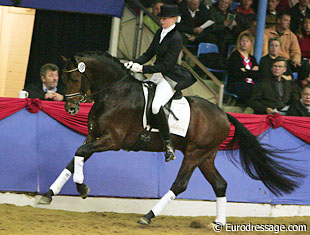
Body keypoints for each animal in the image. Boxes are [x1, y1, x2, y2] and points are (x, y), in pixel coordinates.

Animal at [38, 51, 302, 226]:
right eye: (61, 79)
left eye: (74, 79)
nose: (71, 109)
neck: (115, 93)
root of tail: (223, 113)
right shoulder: (93, 136)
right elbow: (74, 160)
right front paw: (48, 195)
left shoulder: (112, 140)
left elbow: (79, 155)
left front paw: (82, 188)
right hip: (206, 156)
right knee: (220, 184)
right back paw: (219, 223)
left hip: (195, 154)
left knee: (180, 185)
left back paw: (148, 216)